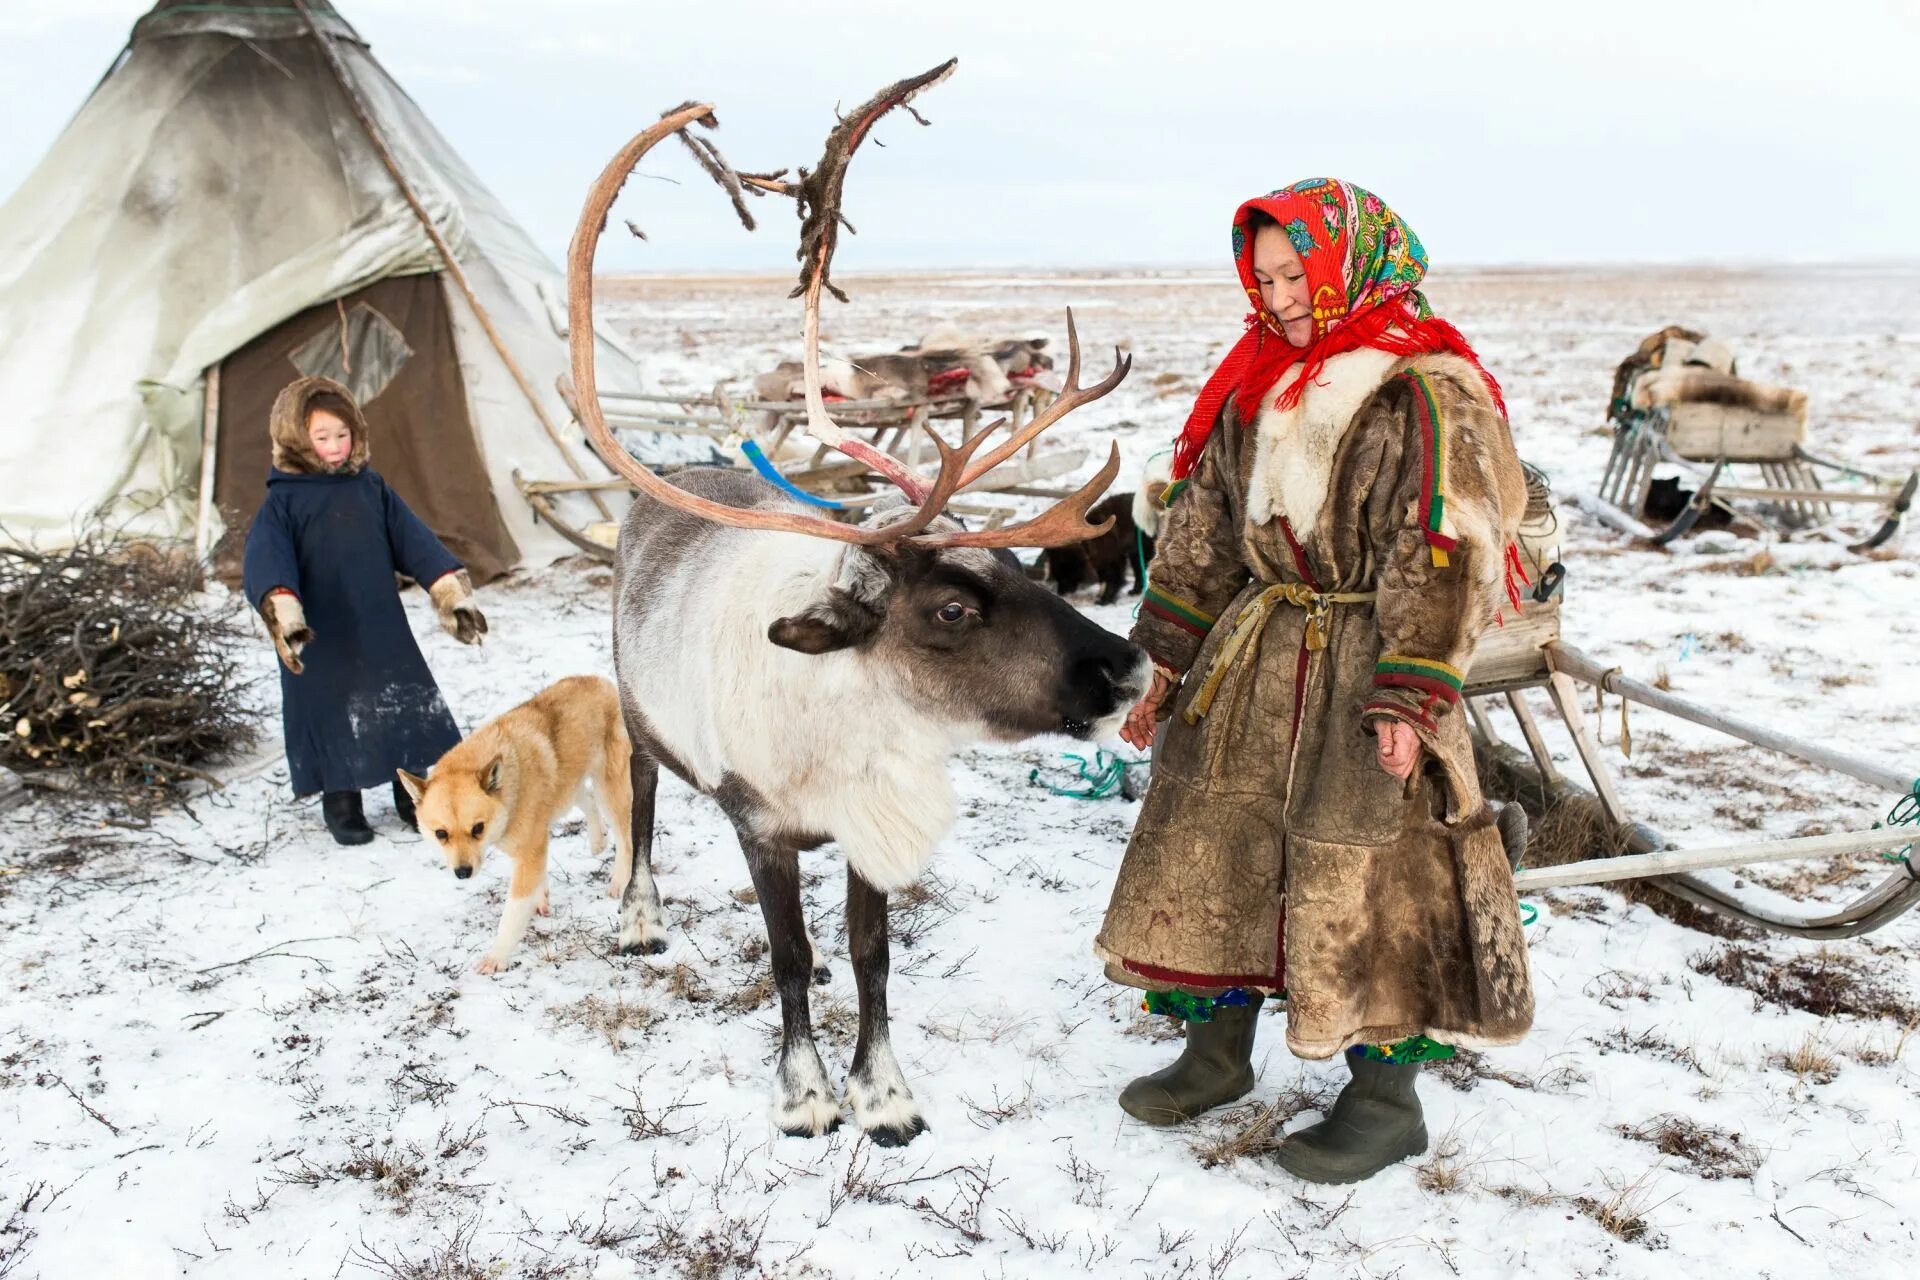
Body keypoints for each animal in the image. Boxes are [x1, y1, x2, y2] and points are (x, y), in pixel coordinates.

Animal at [397, 671, 637, 971]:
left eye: (477, 828)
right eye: (441, 833)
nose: (462, 873)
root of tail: (598, 681)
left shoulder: (529, 851)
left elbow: (512, 914)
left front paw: (496, 958)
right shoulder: (533, 843)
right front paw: (541, 898)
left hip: (609, 787)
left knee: (625, 837)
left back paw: (619, 880)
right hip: (566, 788)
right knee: (586, 798)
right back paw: (596, 841)